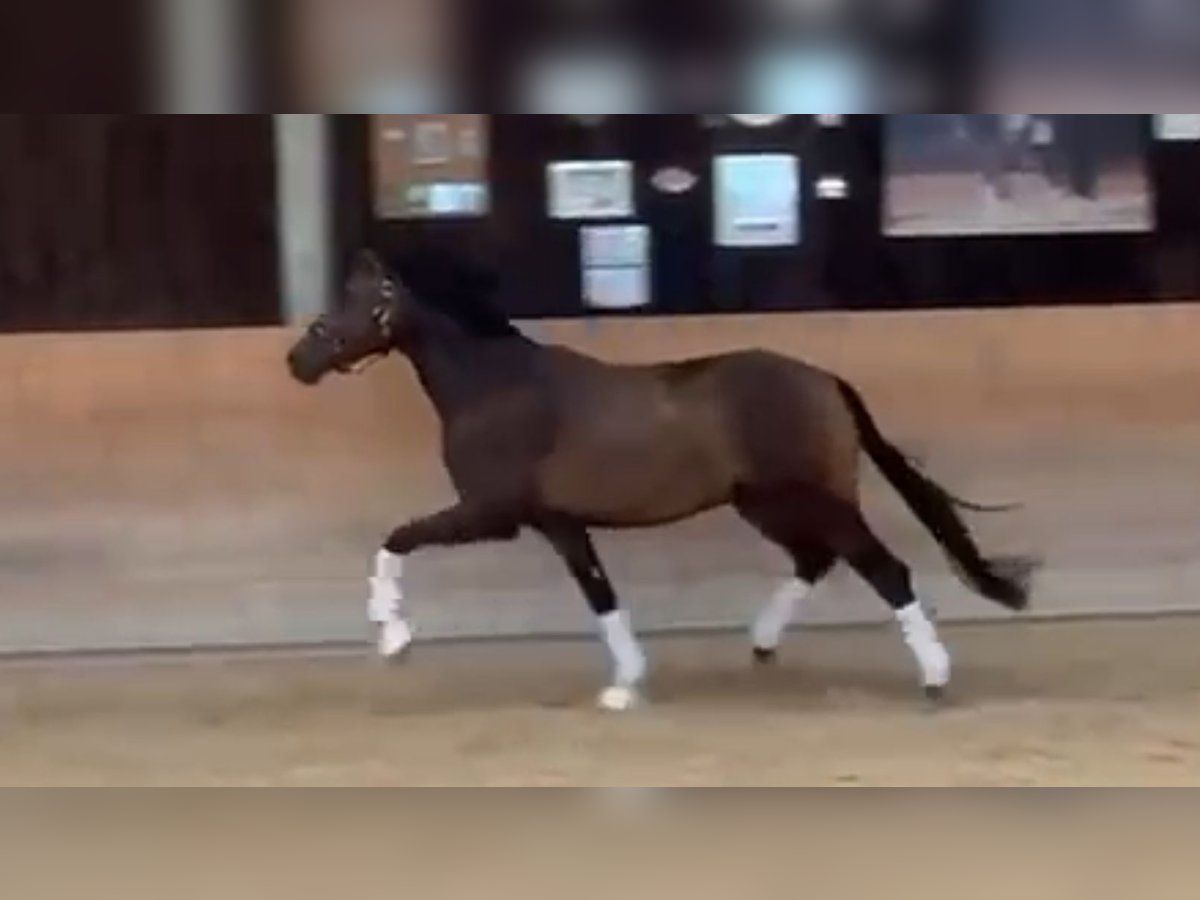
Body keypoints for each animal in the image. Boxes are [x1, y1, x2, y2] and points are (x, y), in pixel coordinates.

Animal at [288, 248, 1032, 710]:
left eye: (361, 297)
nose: (299, 358)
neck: (494, 385)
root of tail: (825, 381)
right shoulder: (559, 523)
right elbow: (599, 595)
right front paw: (626, 686)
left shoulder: (491, 513)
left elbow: (396, 539)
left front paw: (392, 635)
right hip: (765, 503)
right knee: (816, 561)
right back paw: (762, 644)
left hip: (812, 499)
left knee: (885, 570)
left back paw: (934, 679)